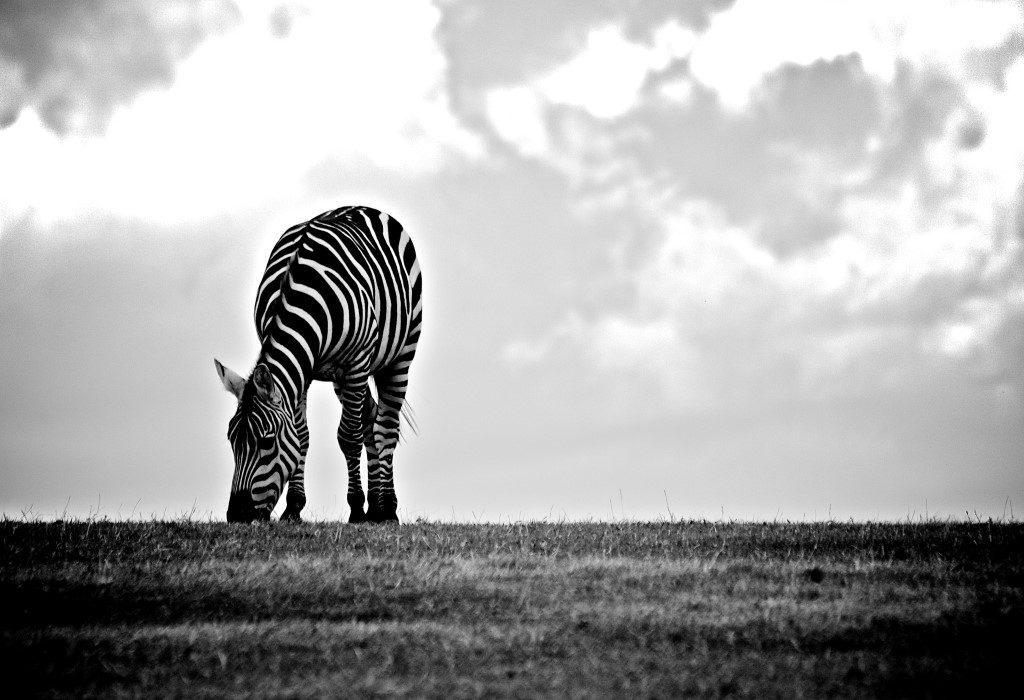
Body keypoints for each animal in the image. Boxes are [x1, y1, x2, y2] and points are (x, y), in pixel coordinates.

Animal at [214, 204, 421, 521]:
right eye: (231, 440)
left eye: (266, 442)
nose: (237, 516)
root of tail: (357, 206)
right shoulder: (304, 371)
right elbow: (302, 437)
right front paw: (294, 508)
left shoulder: (356, 362)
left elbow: (348, 436)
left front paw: (356, 509)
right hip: (342, 379)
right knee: (371, 421)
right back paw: (376, 508)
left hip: (399, 356)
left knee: (386, 428)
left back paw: (386, 509)